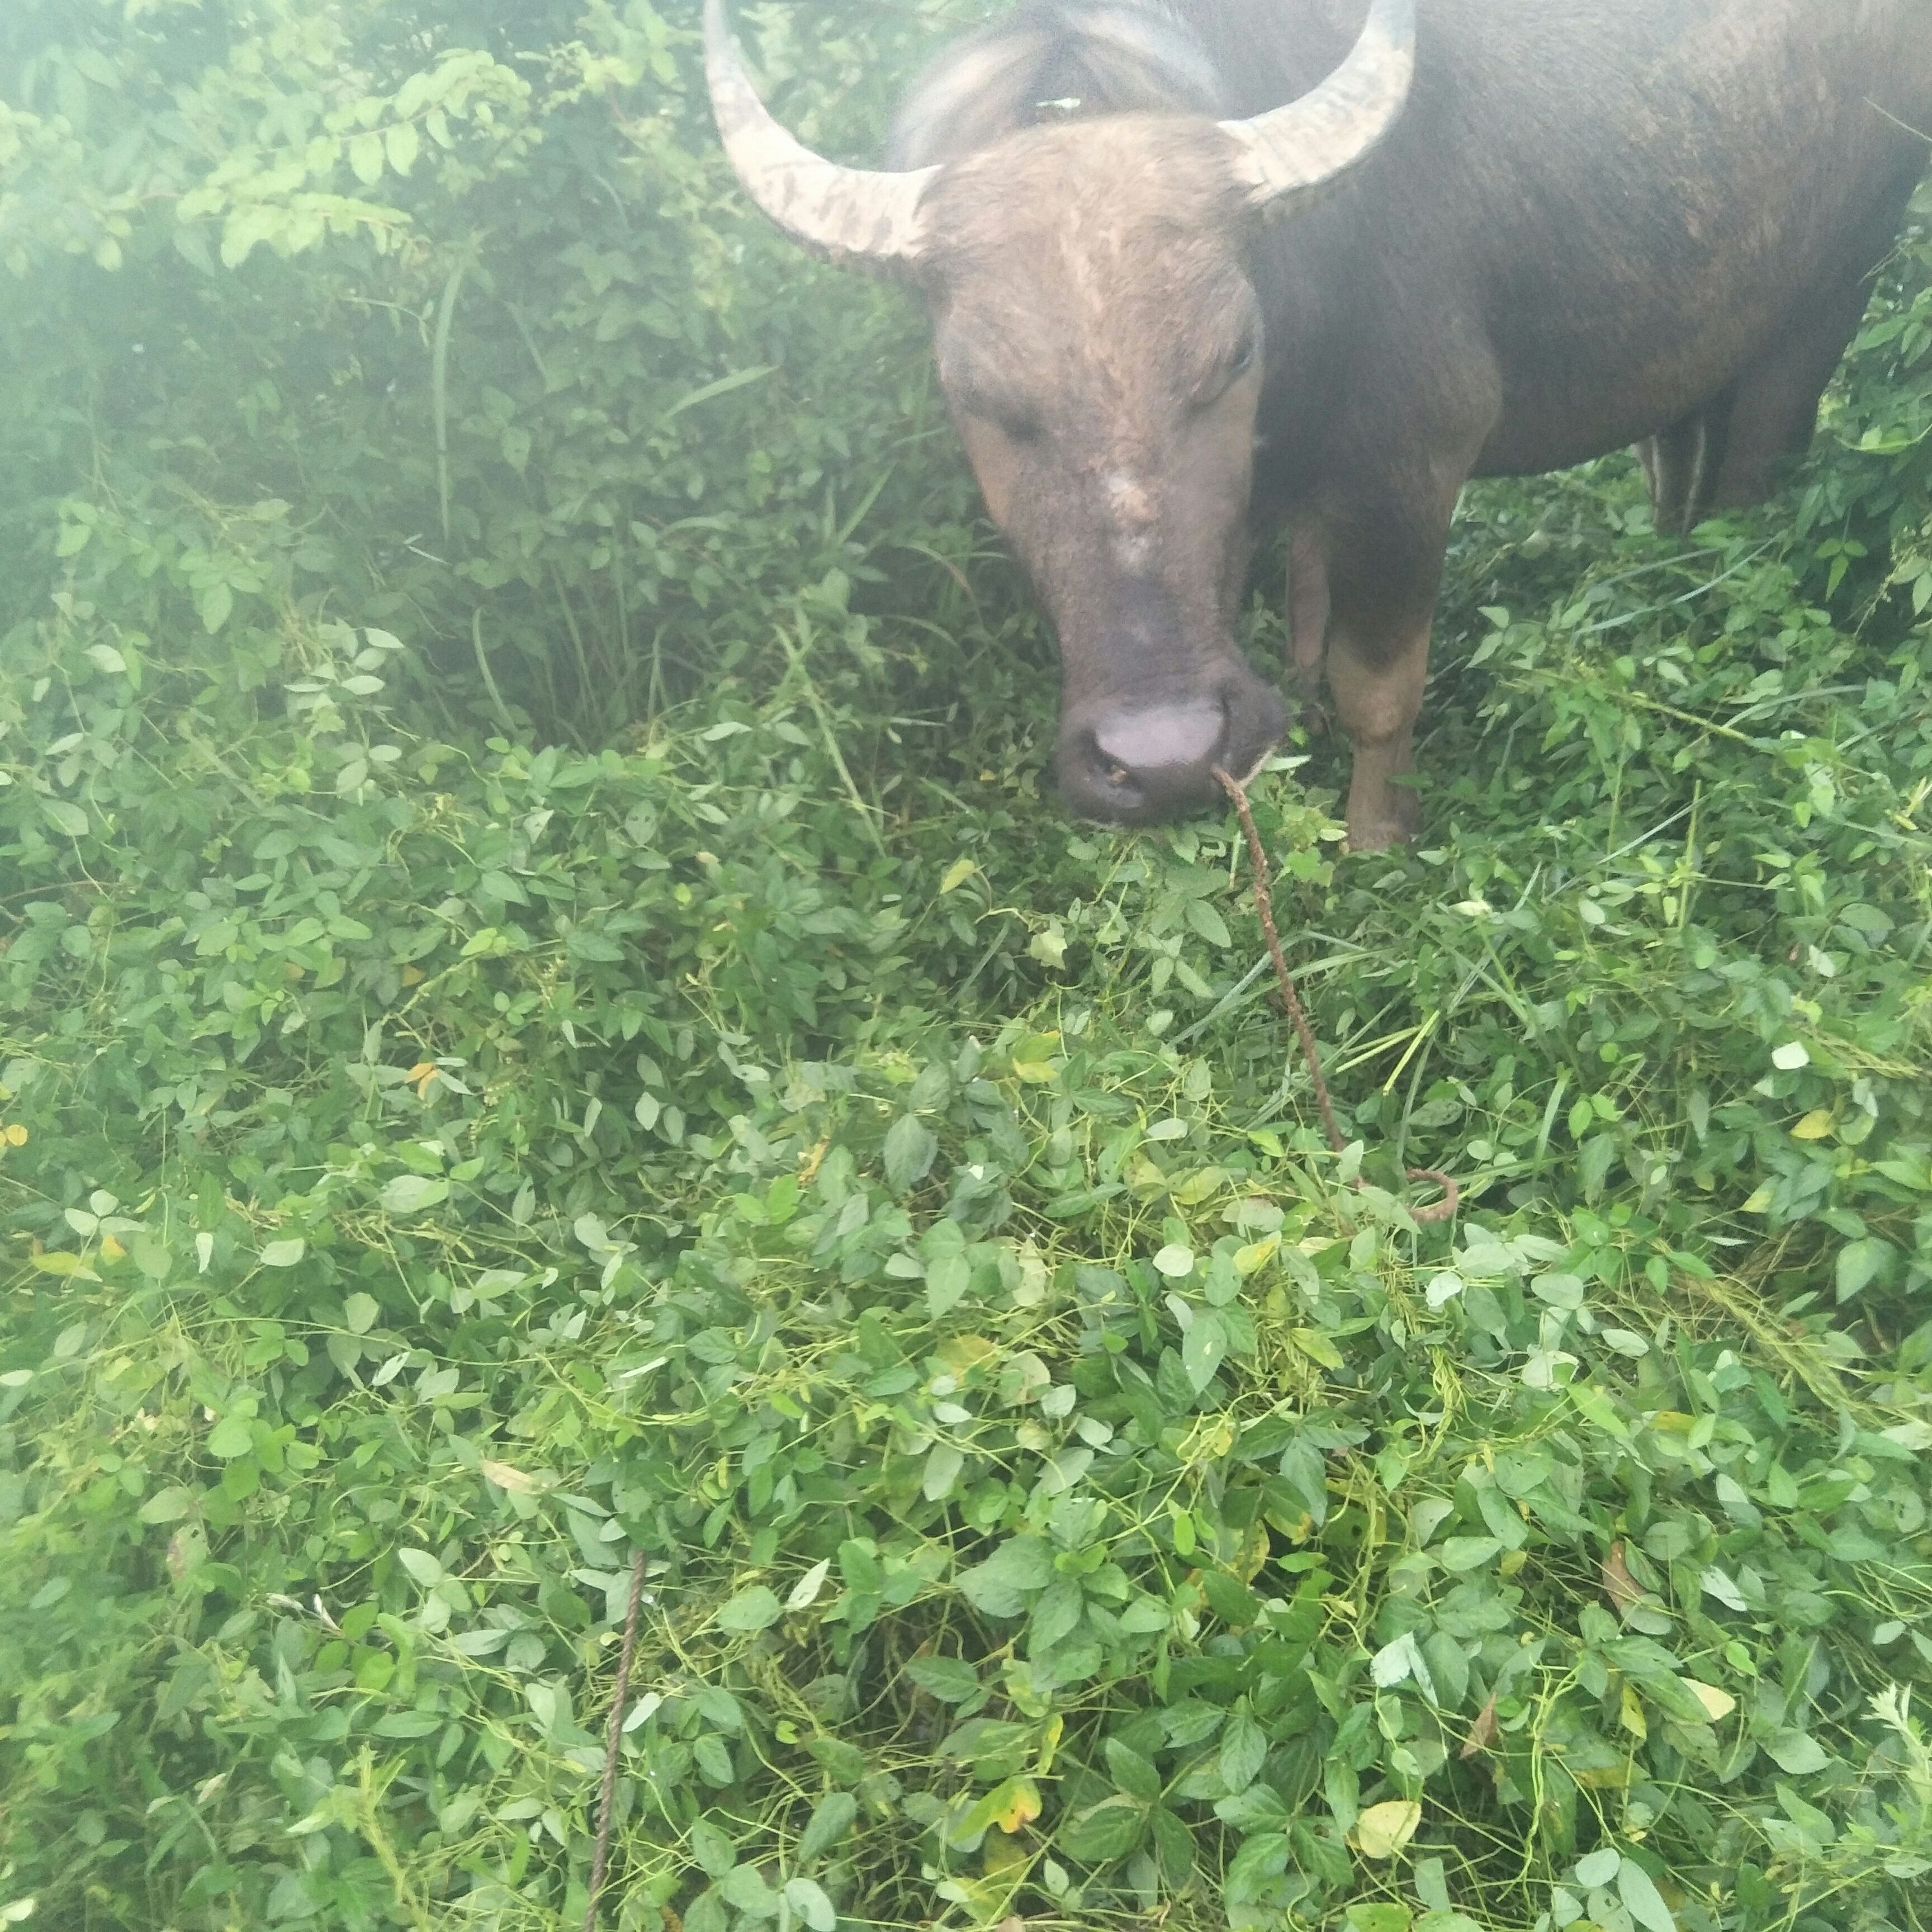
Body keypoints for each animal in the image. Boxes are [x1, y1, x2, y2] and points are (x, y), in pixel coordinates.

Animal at [707, 2, 1932, 846]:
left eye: (1233, 353)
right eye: (978, 392)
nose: (1162, 759)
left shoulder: (1412, 472)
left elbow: (1377, 684)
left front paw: (1375, 837)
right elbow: (1301, 639)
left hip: (1825, 305)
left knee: (1751, 491)